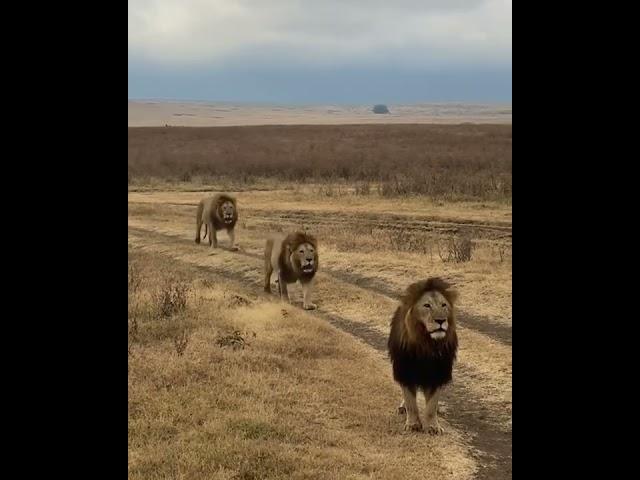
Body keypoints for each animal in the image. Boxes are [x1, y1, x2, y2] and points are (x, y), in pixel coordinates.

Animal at [384, 278, 460, 436]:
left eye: (444, 305)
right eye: (427, 305)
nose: (440, 320)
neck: (427, 345)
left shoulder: (437, 375)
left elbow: (431, 405)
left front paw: (433, 426)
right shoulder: (405, 371)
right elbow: (411, 402)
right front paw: (413, 424)